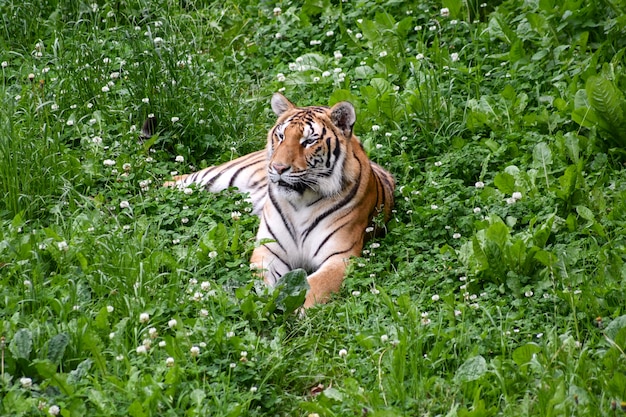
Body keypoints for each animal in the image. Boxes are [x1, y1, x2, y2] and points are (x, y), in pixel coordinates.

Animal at [166, 93, 394, 306]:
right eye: (281, 136)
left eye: (309, 141)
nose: (278, 167)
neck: (302, 200)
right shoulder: (270, 250)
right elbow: (261, 282)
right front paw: (266, 302)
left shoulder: (340, 256)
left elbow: (317, 285)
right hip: (215, 177)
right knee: (172, 181)